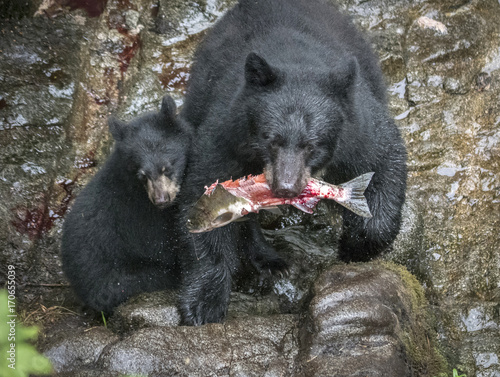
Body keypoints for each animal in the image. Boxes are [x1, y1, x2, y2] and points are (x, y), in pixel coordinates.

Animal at [60, 95, 189, 312]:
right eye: (142, 175)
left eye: (167, 167)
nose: (161, 199)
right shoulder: (140, 214)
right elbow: (162, 243)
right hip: (121, 279)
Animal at [180, 0, 406, 324]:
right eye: (270, 139)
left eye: (311, 145)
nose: (286, 187)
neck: (296, 64)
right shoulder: (226, 132)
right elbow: (202, 190)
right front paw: (204, 304)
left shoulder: (357, 126)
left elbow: (383, 160)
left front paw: (355, 246)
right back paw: (270, 260)